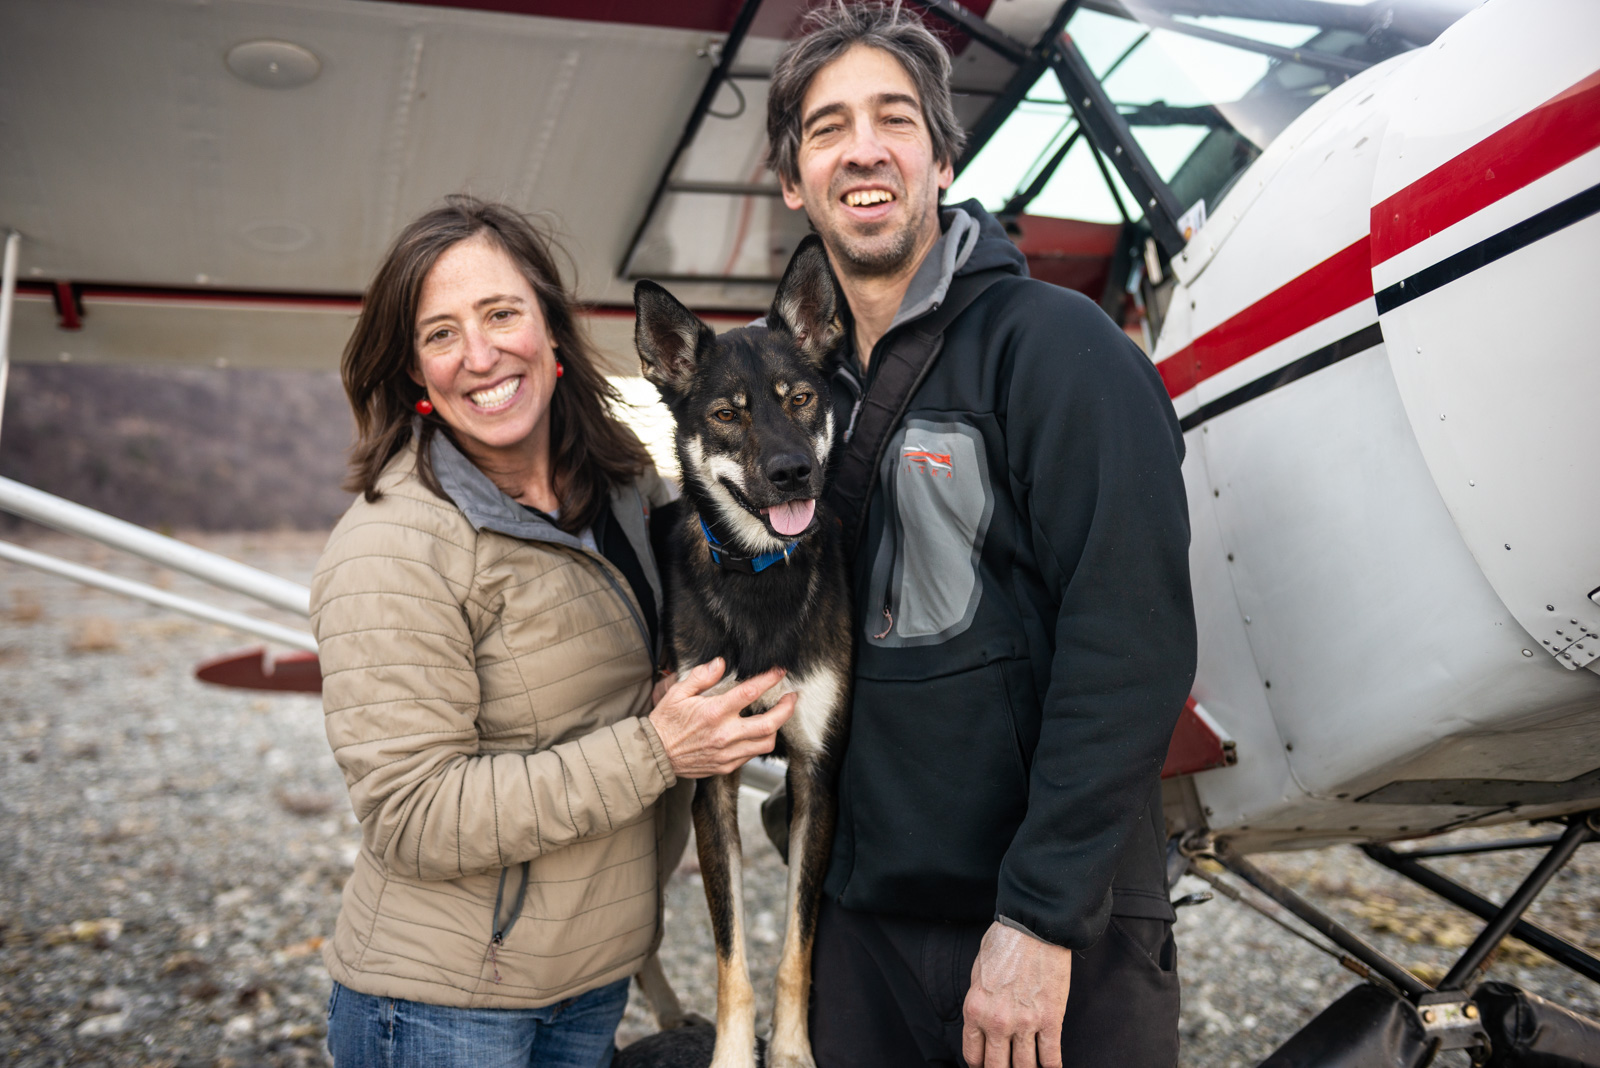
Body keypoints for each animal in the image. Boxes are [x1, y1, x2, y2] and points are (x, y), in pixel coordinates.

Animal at [630, 235, 857, 1068]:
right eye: (727, 413)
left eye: (800, 399)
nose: (794, 473)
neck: (760, 574)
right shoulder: (712, 783)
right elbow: (732, 953)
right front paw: (732, 1052)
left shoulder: (815, 778)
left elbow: (796, 946)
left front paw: (791, 1053)